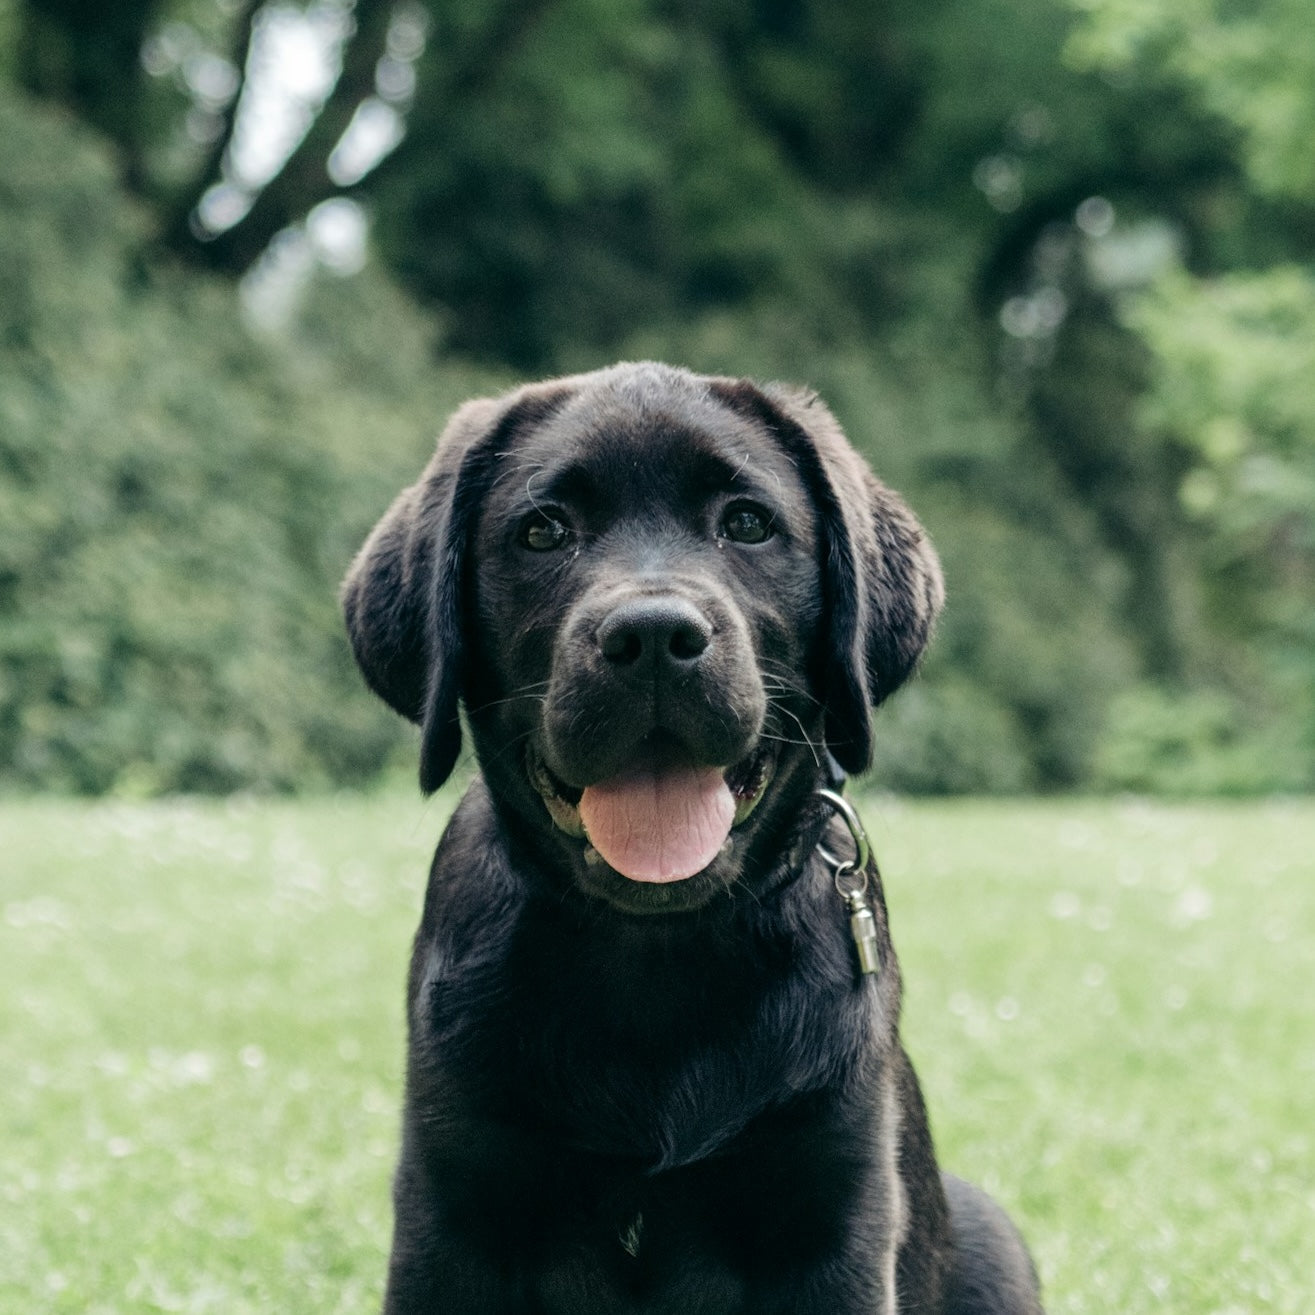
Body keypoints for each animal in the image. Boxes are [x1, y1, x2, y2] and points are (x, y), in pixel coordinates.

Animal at [344, 362, 1041, 1315]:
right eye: (542, 531)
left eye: (746, 523)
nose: (650, 637)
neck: (656, 958)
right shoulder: (451, 1212)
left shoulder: (833, 1212)